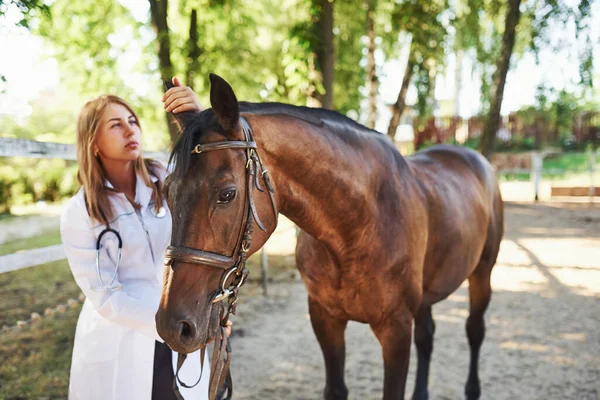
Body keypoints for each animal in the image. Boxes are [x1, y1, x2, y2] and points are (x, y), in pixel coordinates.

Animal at [157, 73, 504, 398]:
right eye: (167, 190)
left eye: (227, 194)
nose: (173, 326)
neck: (356, 228)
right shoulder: (325, 318)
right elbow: (336, 388)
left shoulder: (396, 328)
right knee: (427, 337)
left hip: (482, 274)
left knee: (474, 330)